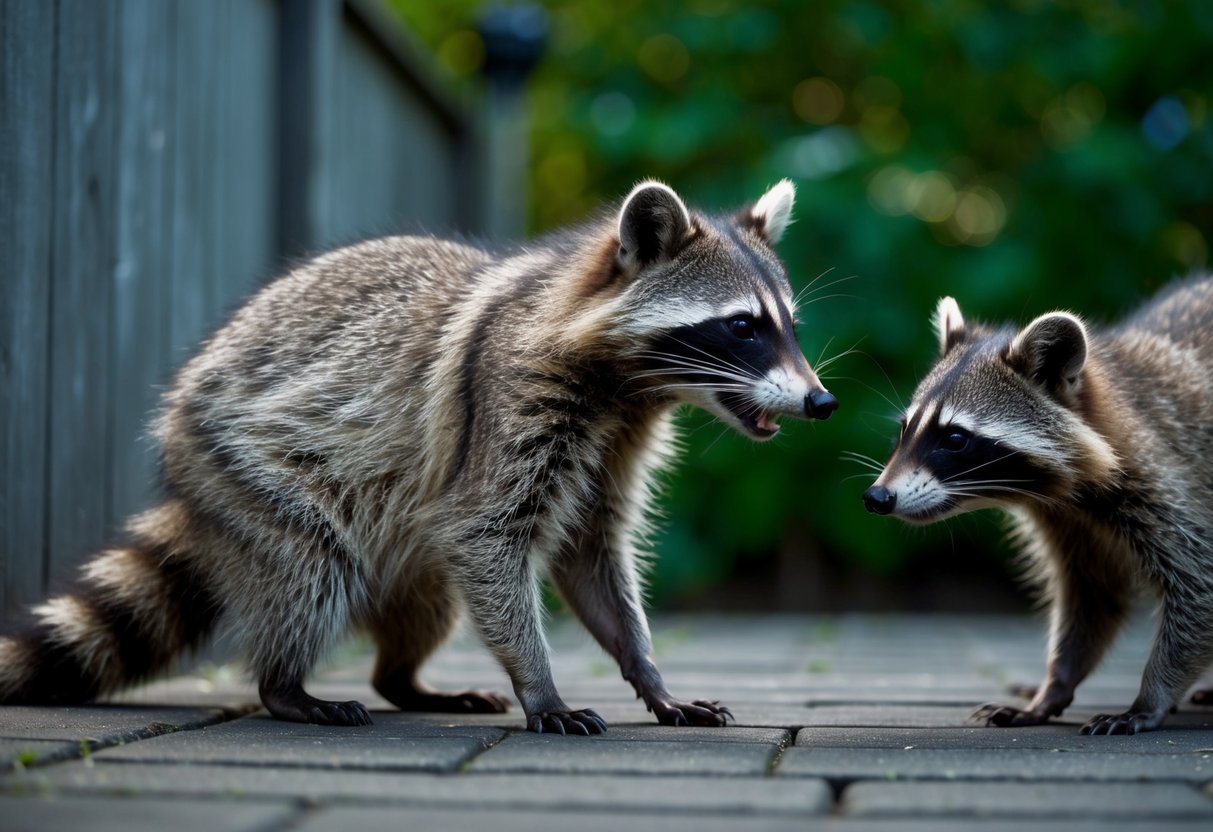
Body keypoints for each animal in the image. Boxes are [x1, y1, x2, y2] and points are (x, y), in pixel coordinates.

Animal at [0, 181, 837, 734]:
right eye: (741, 327)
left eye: (788, 326)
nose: (821, 401)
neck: (629, 389)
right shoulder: (507, 404)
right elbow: (487, 537)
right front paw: (541, 684)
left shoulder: (614, 446)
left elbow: (590, 553)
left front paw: (646, 672)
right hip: (246, 465)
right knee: (310, 567)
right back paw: (285, 685)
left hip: (397, 540)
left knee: (430, 599)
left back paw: (404, 680)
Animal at [862, 275, 1213, 734]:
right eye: (905, 430)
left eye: (955, 438)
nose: (877, 497)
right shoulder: (1069, 524)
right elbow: (1090, 598)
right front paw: (1054, 685)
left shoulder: (1167, 482)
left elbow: (1198, 586)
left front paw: (1150, 696)